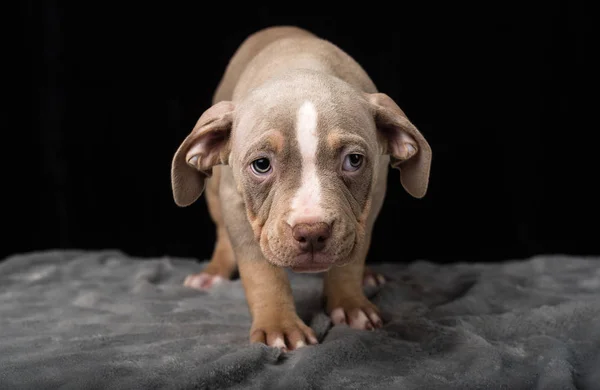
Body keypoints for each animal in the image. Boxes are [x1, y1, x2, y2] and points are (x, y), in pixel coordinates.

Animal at [170, 26, 432, 350]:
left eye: (354, 160)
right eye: (261, 165)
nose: (311, 232)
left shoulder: (370, 200)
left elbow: (352, 257)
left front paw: (349, 304)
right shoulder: (236, 203)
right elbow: (260, 270)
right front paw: (279, 326)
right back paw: (213, 274)